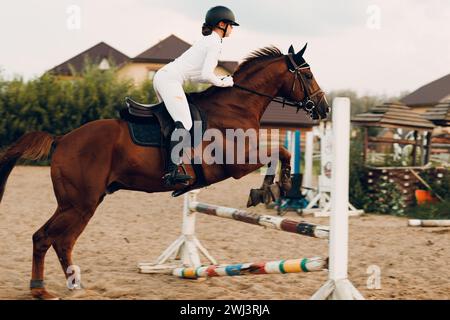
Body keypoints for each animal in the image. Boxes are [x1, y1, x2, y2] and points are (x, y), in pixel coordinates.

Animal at [0, 43, 328, 298]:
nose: (324, 108)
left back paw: (68, 284)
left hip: (80, 203)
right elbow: (278, 152)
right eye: (308, 74)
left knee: (59, 240)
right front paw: (270, 189)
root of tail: (62, 139)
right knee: (47, 238)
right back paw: (41, 289)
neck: (235, 106)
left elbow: (278, 152)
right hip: (80, 203)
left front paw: (272, 188)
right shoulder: (236, 163)